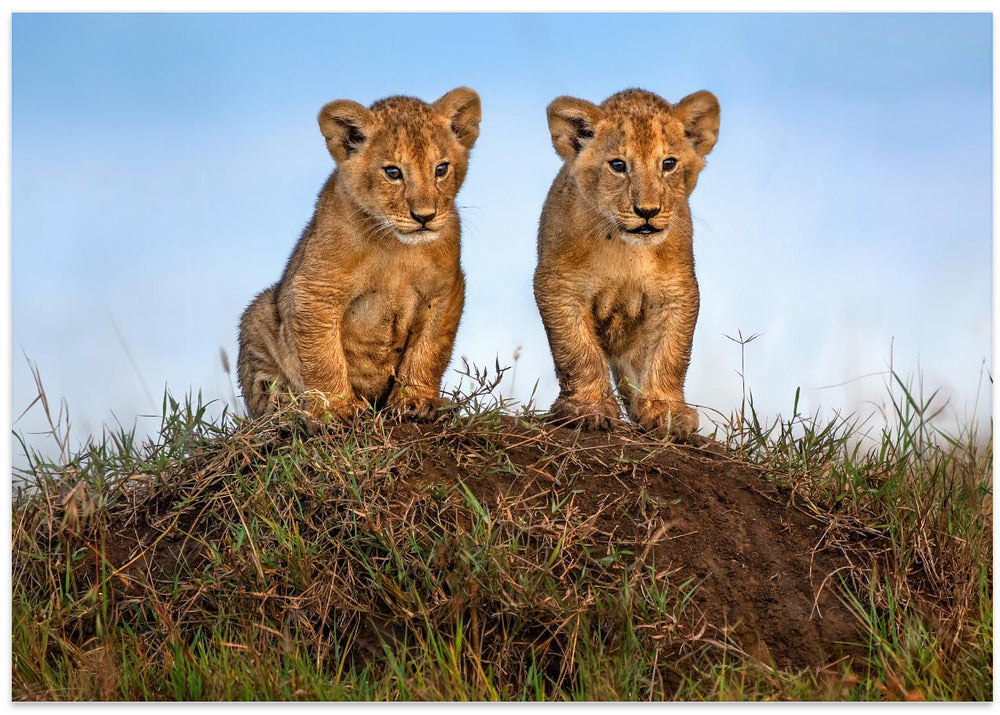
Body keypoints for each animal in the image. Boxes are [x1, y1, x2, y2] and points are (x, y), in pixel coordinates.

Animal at [237, 87, 482, 421]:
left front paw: (416, 401)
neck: (395, 246)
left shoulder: (445, 290)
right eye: (393, 172)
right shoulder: (314, 289)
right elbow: (323, 356)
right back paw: (286, 408)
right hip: (259, 313)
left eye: (441, 169)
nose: (425, 216)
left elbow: (429, 348)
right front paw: (336, 409)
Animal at [533, 88, 720, 438]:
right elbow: (578, 351)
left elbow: (670, 354)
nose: (647, 211)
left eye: (668, 164)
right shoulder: (559, 285)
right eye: (618, 165)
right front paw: (587, 408)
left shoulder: (677, 291)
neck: (625, 249)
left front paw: (666, 412)